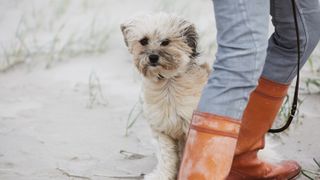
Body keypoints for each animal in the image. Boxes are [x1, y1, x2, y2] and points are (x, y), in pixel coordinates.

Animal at [121, 13, 209, 179]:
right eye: (144, 41)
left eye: (166, 42)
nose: (153, 57)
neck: (168, 85)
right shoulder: (161, 130)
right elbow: (166, 157)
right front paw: (161, 175)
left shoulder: (189, 127)